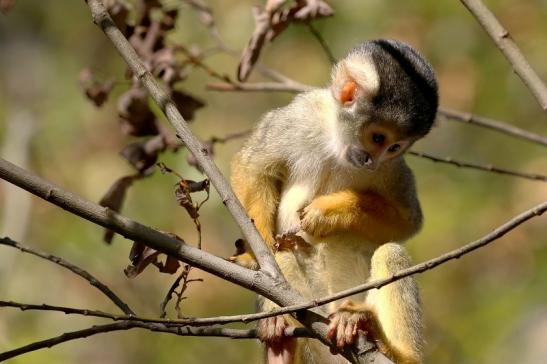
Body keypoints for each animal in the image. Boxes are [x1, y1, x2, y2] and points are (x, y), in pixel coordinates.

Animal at [231, 39, 440, 364]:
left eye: (394, 147)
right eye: (378, 138)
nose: (371, 161)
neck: (338, 142)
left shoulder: (391, 168)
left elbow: (407, 222)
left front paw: (329, 213)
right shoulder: (298, 115)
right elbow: (252, 168)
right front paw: (257, 252)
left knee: (390, 253)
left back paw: (389, 347)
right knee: (285, 252)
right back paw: (282, 344)